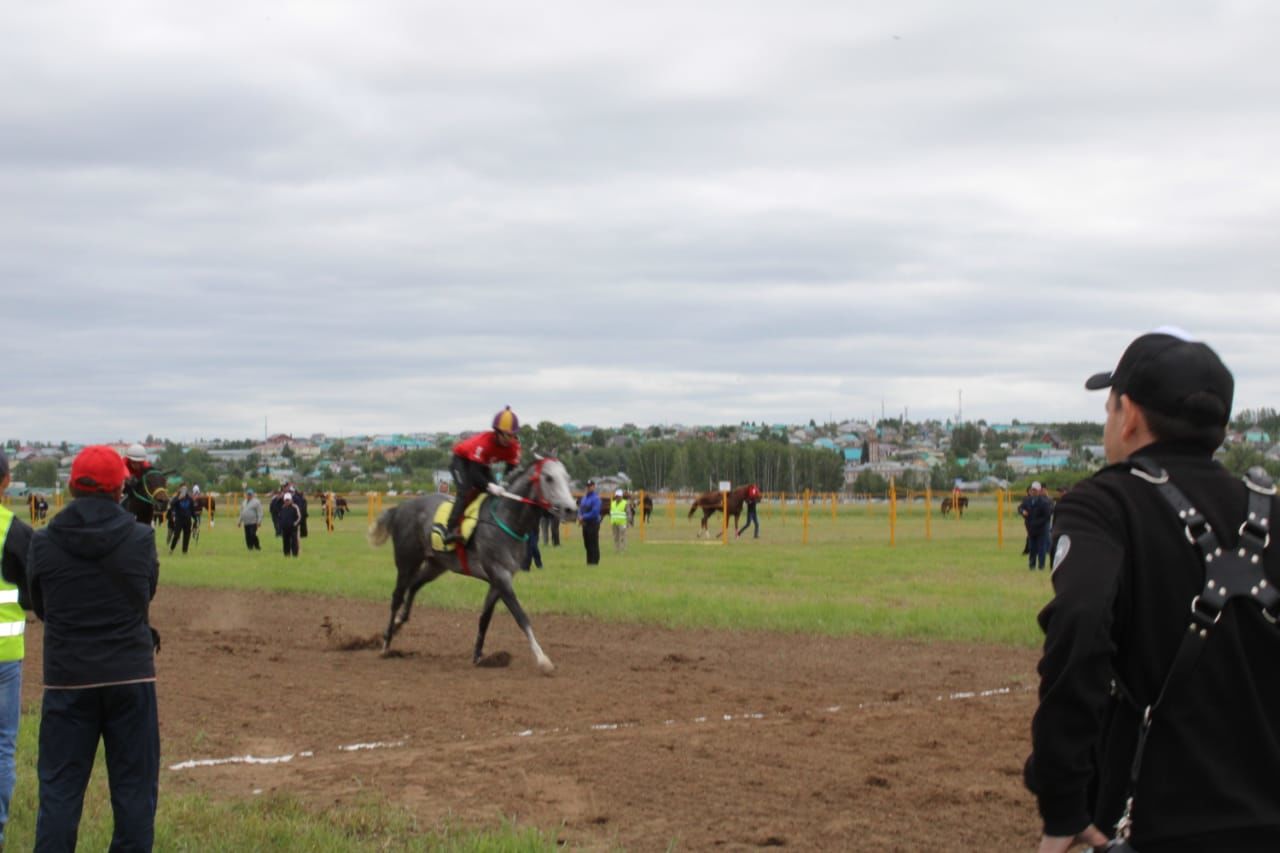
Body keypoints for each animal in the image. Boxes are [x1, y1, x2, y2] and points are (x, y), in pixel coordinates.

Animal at [363, 455, 578, 676]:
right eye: (549, 478)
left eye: (567, 477)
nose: (571, 509)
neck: (506, 519)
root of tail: (400, 508)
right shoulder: (500, 575)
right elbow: (521, 617)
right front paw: (543, 659)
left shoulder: (499, 580)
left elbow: (485, 618)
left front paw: (478, 655)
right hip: (407, 561)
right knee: (397, 596)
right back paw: (386, 643)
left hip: (436, 565)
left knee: (414, 586)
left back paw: (399, 622)